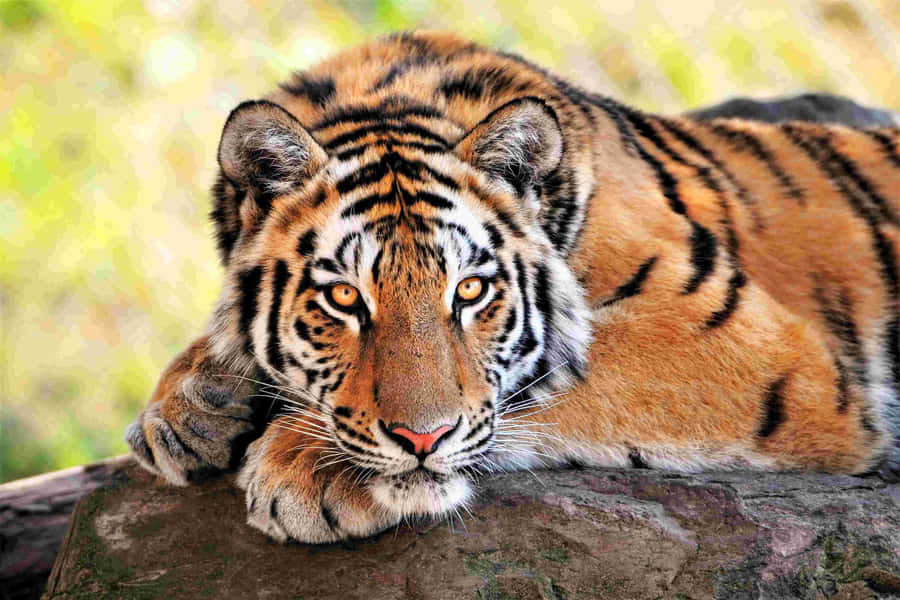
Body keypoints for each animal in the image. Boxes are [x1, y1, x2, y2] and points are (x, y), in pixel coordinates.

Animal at [125, 31, 900, 544]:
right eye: (344, 298)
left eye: (470, 292)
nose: (422, 438)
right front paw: (189, 406)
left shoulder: (750, 345)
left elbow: (543, 385)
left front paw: (306, 466)